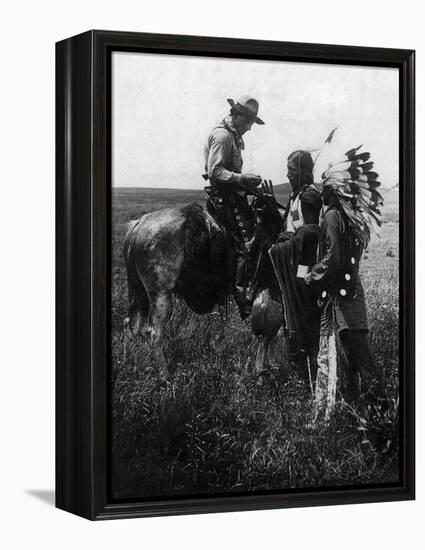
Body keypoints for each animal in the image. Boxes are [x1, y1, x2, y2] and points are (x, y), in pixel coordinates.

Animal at [121, 184, 284, 380]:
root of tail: (137, 226)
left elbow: (273, 333)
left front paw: (271, 364)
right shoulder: (272, 291)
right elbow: (269, 334)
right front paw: (262, 369)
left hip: (139, 292)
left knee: (130, 325)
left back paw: (128, 364)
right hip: (159, 294)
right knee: (153, 332)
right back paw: (165, 376)